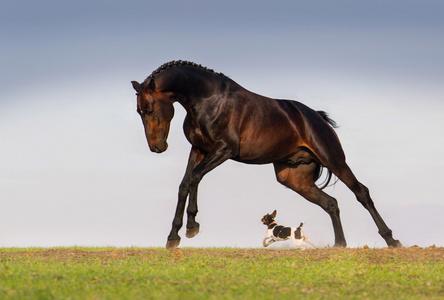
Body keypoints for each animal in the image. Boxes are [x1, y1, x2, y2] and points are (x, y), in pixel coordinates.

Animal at [130, 59, 400, 248]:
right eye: (139, 111)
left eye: (149, 108)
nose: (157, 147)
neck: (207, 99)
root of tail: (317, 117)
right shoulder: (199, 150)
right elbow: (186, 183)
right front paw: (176, 235)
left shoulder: (223, 150)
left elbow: (194, 178)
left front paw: (189, 228)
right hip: (293, 178)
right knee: (330, 203)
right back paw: (339, 245)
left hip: (334, 159)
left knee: (361, 193)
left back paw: (392, 240)